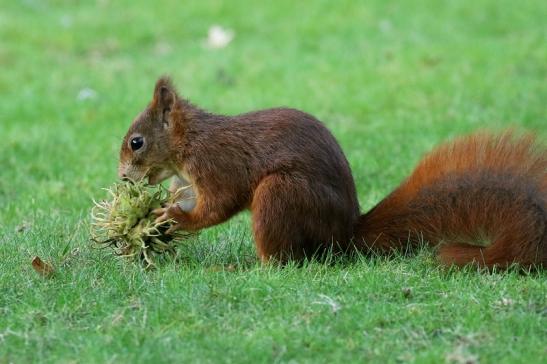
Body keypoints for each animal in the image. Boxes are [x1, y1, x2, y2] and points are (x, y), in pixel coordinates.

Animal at [117, 77, 544, 268]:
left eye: (136, 142)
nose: (122, 178)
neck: (189, 143)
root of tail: (344, 236)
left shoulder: (218, 164)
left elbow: (219, 205)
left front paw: (171, 217)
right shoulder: (187, 180)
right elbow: (192, 200)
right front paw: (159, 217)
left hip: (282, 193)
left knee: (284, 259)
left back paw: (248, 266)